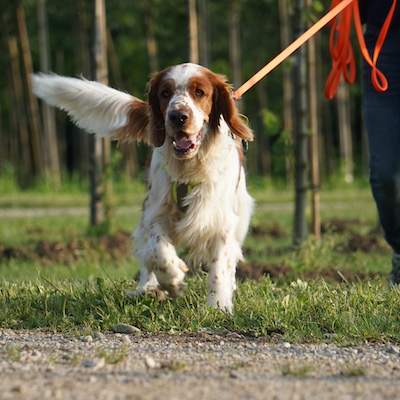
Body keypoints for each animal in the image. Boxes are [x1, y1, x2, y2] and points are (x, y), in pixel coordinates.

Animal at [32, 62, 255, 312]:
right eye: (165, 93)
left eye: (199, 92)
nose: (178, 116)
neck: (188, 167)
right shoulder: (155, 212)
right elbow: (158, 251)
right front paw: (173, 280)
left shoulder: (221, 220)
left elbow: (219, 267)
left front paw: (218, 305)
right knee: (147, 255)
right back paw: (148, 288)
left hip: (242, 214)